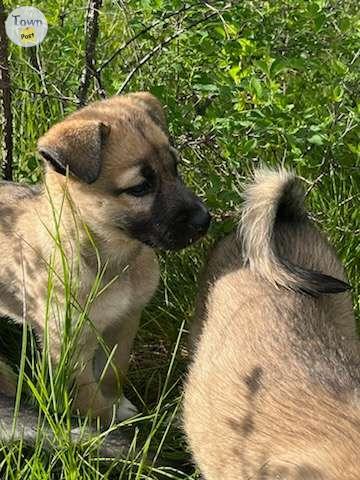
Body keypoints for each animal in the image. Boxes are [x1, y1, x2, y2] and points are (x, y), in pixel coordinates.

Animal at [0, 93, 211, 428]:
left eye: (175, 168)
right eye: (140, 188)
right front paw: (102, 422)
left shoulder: (125, 319)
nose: (205, 221)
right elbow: (87, 393)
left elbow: (114, 371)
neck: (114, 261)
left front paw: (117, 406)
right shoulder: (67, 342)